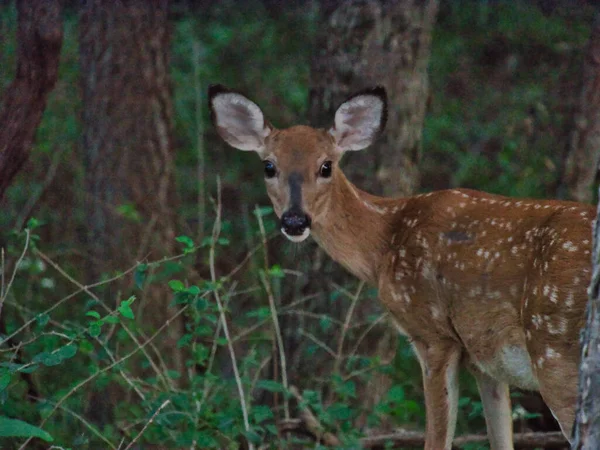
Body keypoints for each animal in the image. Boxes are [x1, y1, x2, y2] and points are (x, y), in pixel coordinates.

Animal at [209, 85, 592, 450]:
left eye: (326, 165)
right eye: (269, 166)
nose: (294, 220)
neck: (385, 243)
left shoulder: (432, 332)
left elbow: (436, 440)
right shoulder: (485, 358)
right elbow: (500, 439)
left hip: (555, 350)